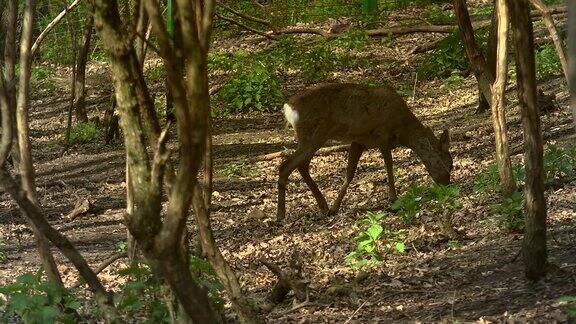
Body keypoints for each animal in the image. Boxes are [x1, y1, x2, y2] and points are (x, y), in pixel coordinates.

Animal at [276, 82, 452, 221]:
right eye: (450, 165)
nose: (447, 184)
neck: (403, 130)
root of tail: (288, 108)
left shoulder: (359, 141)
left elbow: (349, 174)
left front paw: (334, 208)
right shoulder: (382, 134)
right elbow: (389, 165)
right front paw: (393, 199)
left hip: (310, 137)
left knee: (301, 165)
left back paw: (323, 206)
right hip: (314, 135)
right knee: (286, 165)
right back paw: (280, 214)